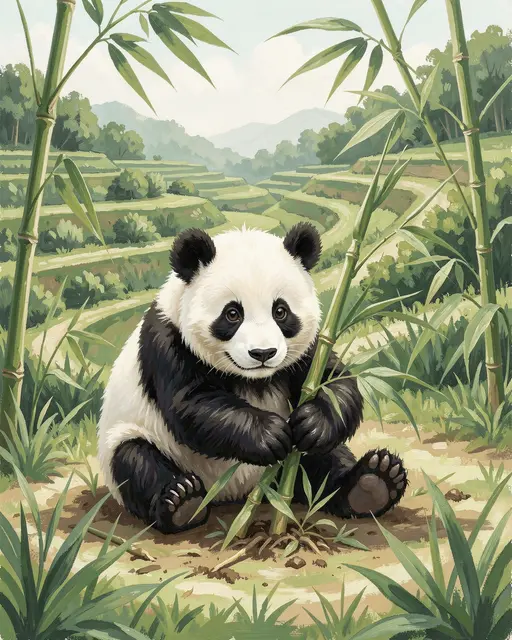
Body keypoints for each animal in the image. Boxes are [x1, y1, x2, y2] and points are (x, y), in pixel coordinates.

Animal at [98, 223, 407, 534]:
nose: (263, 353)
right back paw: (183, 502)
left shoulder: (308, 348)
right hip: (132, 440)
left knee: (324, 464)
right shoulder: (168, 340)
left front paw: (315, 423)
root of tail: (234, 492)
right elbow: (192, 404)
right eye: (232, 313)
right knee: (135, 462)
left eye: (280, 311)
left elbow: (333, 381)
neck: (253, 378)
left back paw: (373, 483)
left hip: (292, 470)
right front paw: (269, 434)